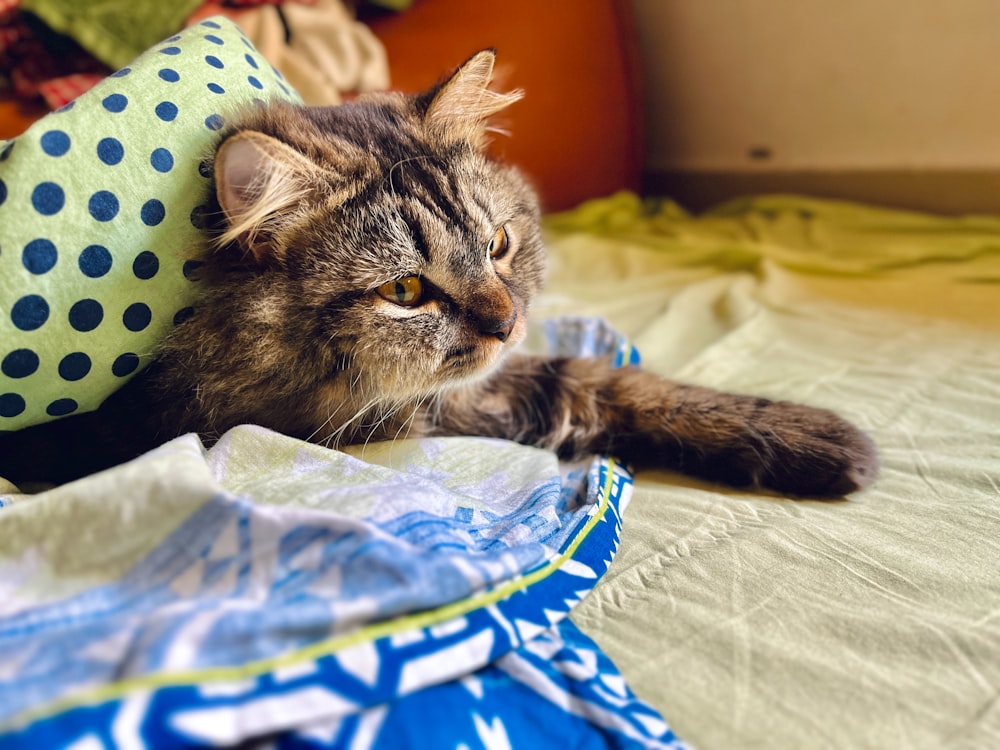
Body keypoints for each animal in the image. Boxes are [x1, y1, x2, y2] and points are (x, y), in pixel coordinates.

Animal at [0, 50, 876, 496]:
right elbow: (588, 381)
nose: (507, 322)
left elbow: (606, 379)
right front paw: (826, 441)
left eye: (498, 244)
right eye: (405, 291)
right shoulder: (395, 413)